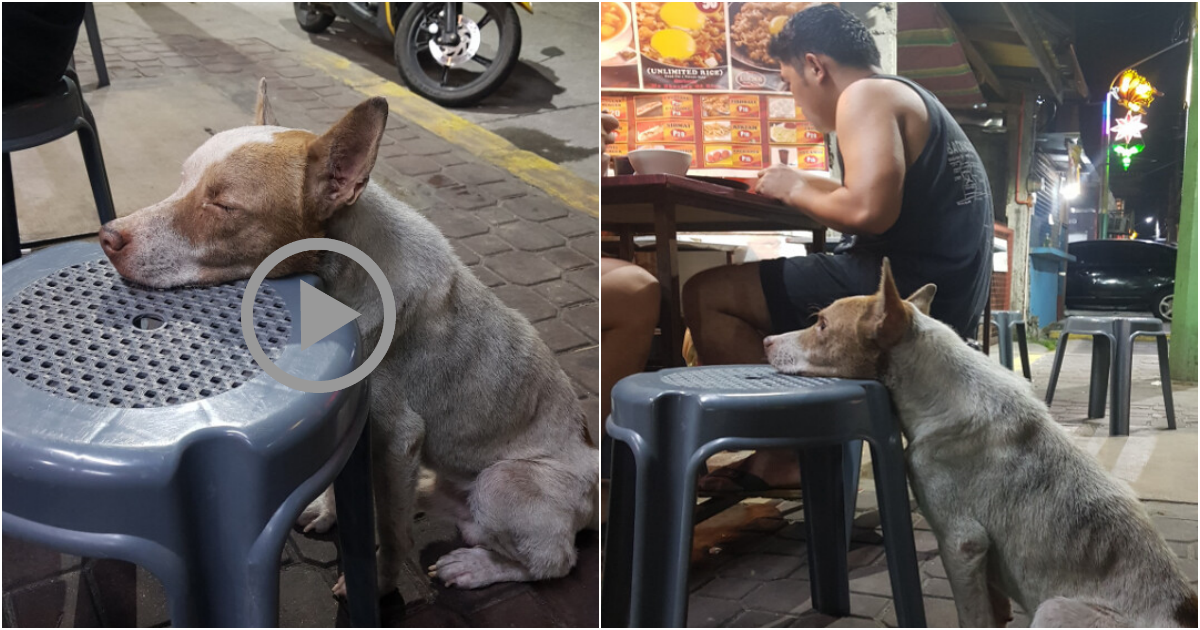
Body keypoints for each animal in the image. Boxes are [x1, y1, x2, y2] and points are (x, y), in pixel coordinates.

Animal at [100, 81, 597, 592]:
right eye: (182, 182)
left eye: (223, 205)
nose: (107, 236)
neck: (339, 276)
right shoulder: (350, 423)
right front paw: (328, 511)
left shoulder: (399, 439)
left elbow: (393, 534)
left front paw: (379, 585)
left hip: (505, 482)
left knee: (552, 561)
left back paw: (474, 566)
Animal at [763, 259, 1195, 624]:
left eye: (821, 324)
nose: (766, 341)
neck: (939, 397)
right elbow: (993, 611)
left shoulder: (961, 543)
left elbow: (971, 615)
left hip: (1054, 609)